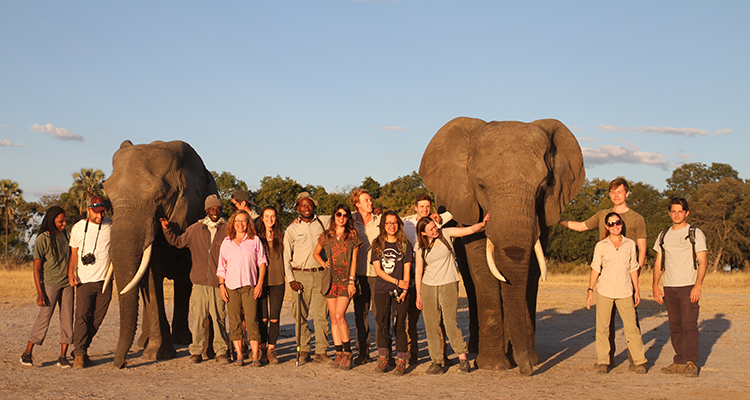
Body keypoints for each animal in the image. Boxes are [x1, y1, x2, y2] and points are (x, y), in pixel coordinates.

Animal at [102, 141, 217, 368]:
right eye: (108, 197)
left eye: (161, 197)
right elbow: (151, 278)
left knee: (184, 284)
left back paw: (183, 339)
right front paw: (156, 354)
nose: (121, 364)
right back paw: (145, 342)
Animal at [418, 116, 588, 376]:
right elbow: (482, 265)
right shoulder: (469, 207)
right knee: (470, 278)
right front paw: (494, 366)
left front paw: (529, 359)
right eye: (481, 186)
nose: (526, 370)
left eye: (542, 187)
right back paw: (477, 349)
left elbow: (532, 270)